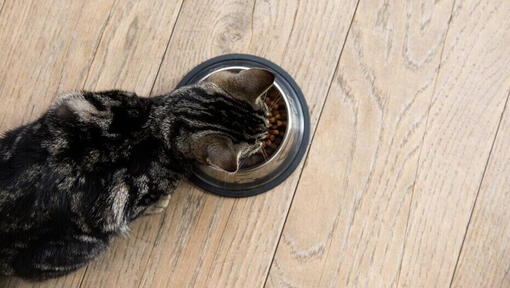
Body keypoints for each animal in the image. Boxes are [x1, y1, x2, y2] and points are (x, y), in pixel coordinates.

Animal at [0, 67, 274, 280]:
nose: (268, 131)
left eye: (267, 115)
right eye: (254, 145)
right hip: (84, 246)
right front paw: (161, 203)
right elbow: (147, 205)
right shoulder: (135, 202)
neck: (158, 124)